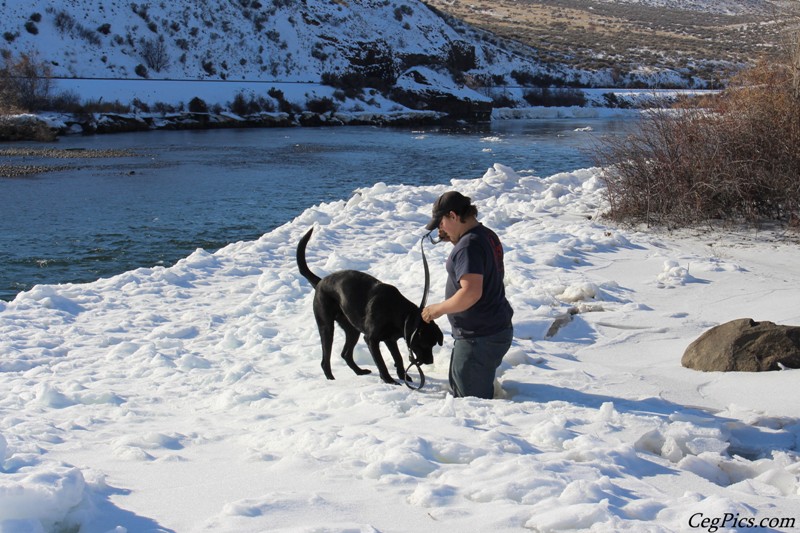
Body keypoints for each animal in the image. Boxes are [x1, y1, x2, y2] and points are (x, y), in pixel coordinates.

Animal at [296, 224, 444, 382]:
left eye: (433, 344)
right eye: (425, 344)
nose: (430, 361)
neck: (399, 313)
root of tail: (320, 282)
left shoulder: (390, 340)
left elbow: (398, 358)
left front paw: (404, 377)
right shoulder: (371, 339)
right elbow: (381, 362)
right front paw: (389, 380)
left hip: (352, 329)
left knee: (345, 354)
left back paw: (359, 371)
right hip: (326, 326)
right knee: (325, 360)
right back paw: (331, 379)